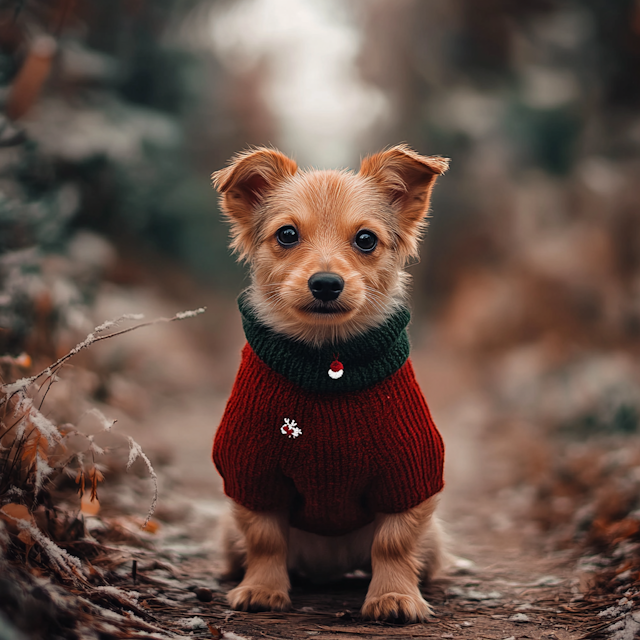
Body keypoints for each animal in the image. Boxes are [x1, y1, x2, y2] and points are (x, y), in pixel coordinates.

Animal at [212, 144, 448, 620]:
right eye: (286, 235)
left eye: (366, 240)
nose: (325, 284)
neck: (328, 361)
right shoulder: (251, 475)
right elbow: (265, 539)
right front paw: (262, 589)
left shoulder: (411, 474)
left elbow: (393, 543)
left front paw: (393, 596)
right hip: (227, 533)